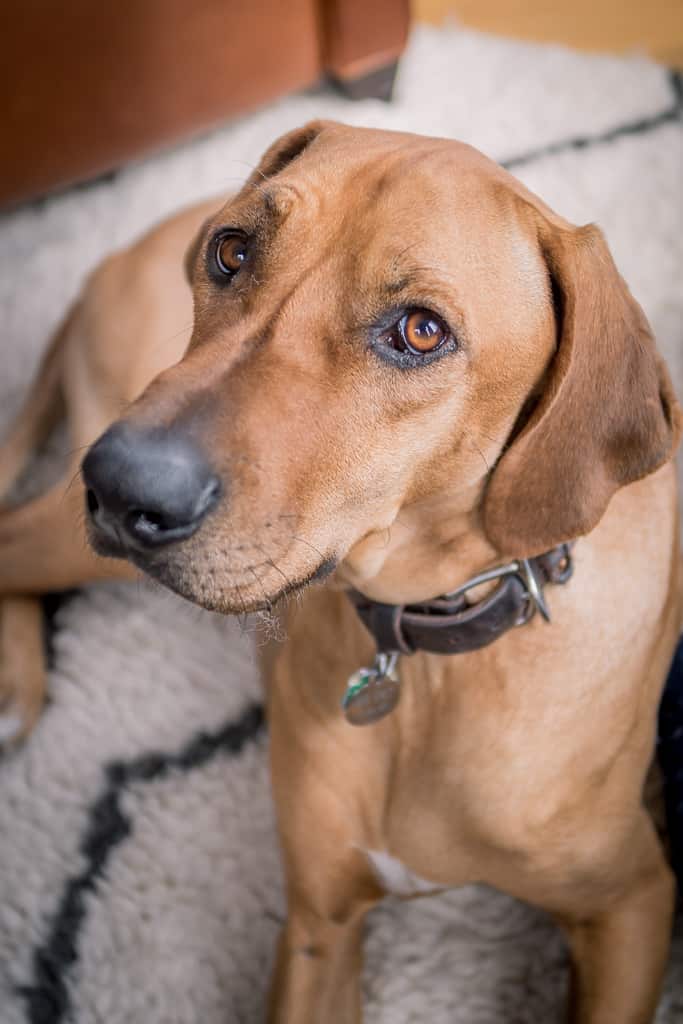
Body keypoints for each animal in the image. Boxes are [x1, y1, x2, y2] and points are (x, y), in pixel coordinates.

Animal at [1, 121, 683, 1024]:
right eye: (232, 251)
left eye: (421, 332)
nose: (121, 484)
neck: (425, 658)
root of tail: (111, 256)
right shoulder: (318, 923)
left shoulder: (631, 903)